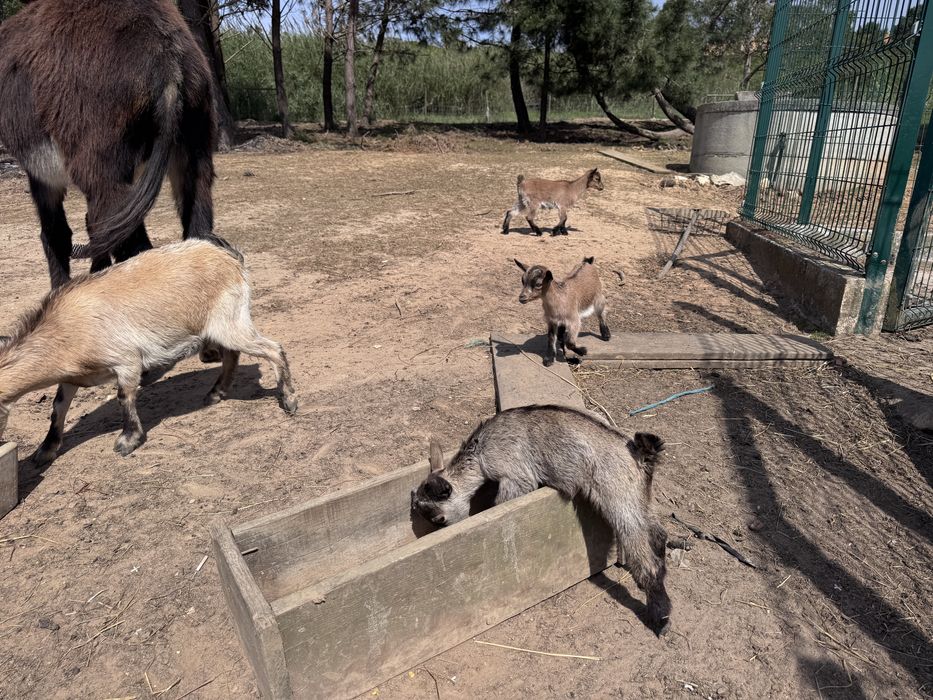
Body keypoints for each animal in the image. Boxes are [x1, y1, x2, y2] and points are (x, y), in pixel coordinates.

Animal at [0, 0, 217, 288]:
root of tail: (167, 58)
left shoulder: (42, 172)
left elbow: (55, 233)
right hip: (194, 151)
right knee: (198, 229)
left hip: (104, 175)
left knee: (133, 248)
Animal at [0, 239, 297, 464]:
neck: (65, 330)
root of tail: (231, 257)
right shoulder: (73, 376)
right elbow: (57, 407)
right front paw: (45, 450)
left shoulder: (126, 359)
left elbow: (124, 397)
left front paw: (128, 441)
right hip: (219, 326)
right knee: (232, 354)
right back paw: (216, 394)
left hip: (230, 320)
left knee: (273, 348)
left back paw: (289, 400)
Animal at [411, 405, 672, 634]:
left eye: (439, 518)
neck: (481, 450)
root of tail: (639, 452)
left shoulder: (515, 477)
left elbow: (505, 498)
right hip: (638, 498)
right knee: (659, 535)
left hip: (619, 499)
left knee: (645, 560)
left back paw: (660, 616)